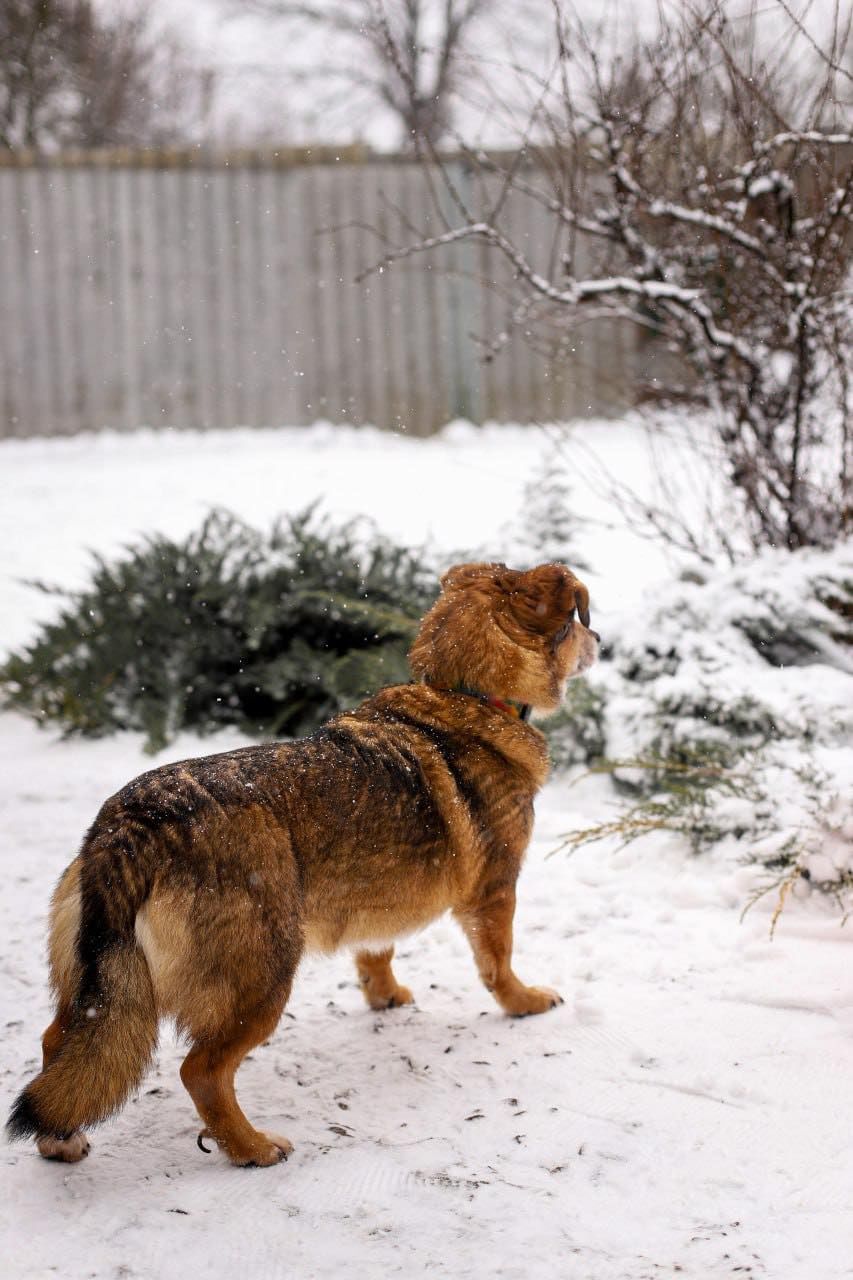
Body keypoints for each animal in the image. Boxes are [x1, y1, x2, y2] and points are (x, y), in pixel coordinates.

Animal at [6, 555, 596, 1167]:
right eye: (579, 621)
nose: (600, 641)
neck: (464, 695)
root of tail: (134, 824)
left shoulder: (375, 893)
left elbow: (376, 951)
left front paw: (385, 997)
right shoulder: (495, 891)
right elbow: (498, 964)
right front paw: (524, 1001)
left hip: (98, 986)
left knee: (59, 1046)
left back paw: (60, 1140)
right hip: (263, 976)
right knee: (201, 1071)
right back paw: (252, 1148)